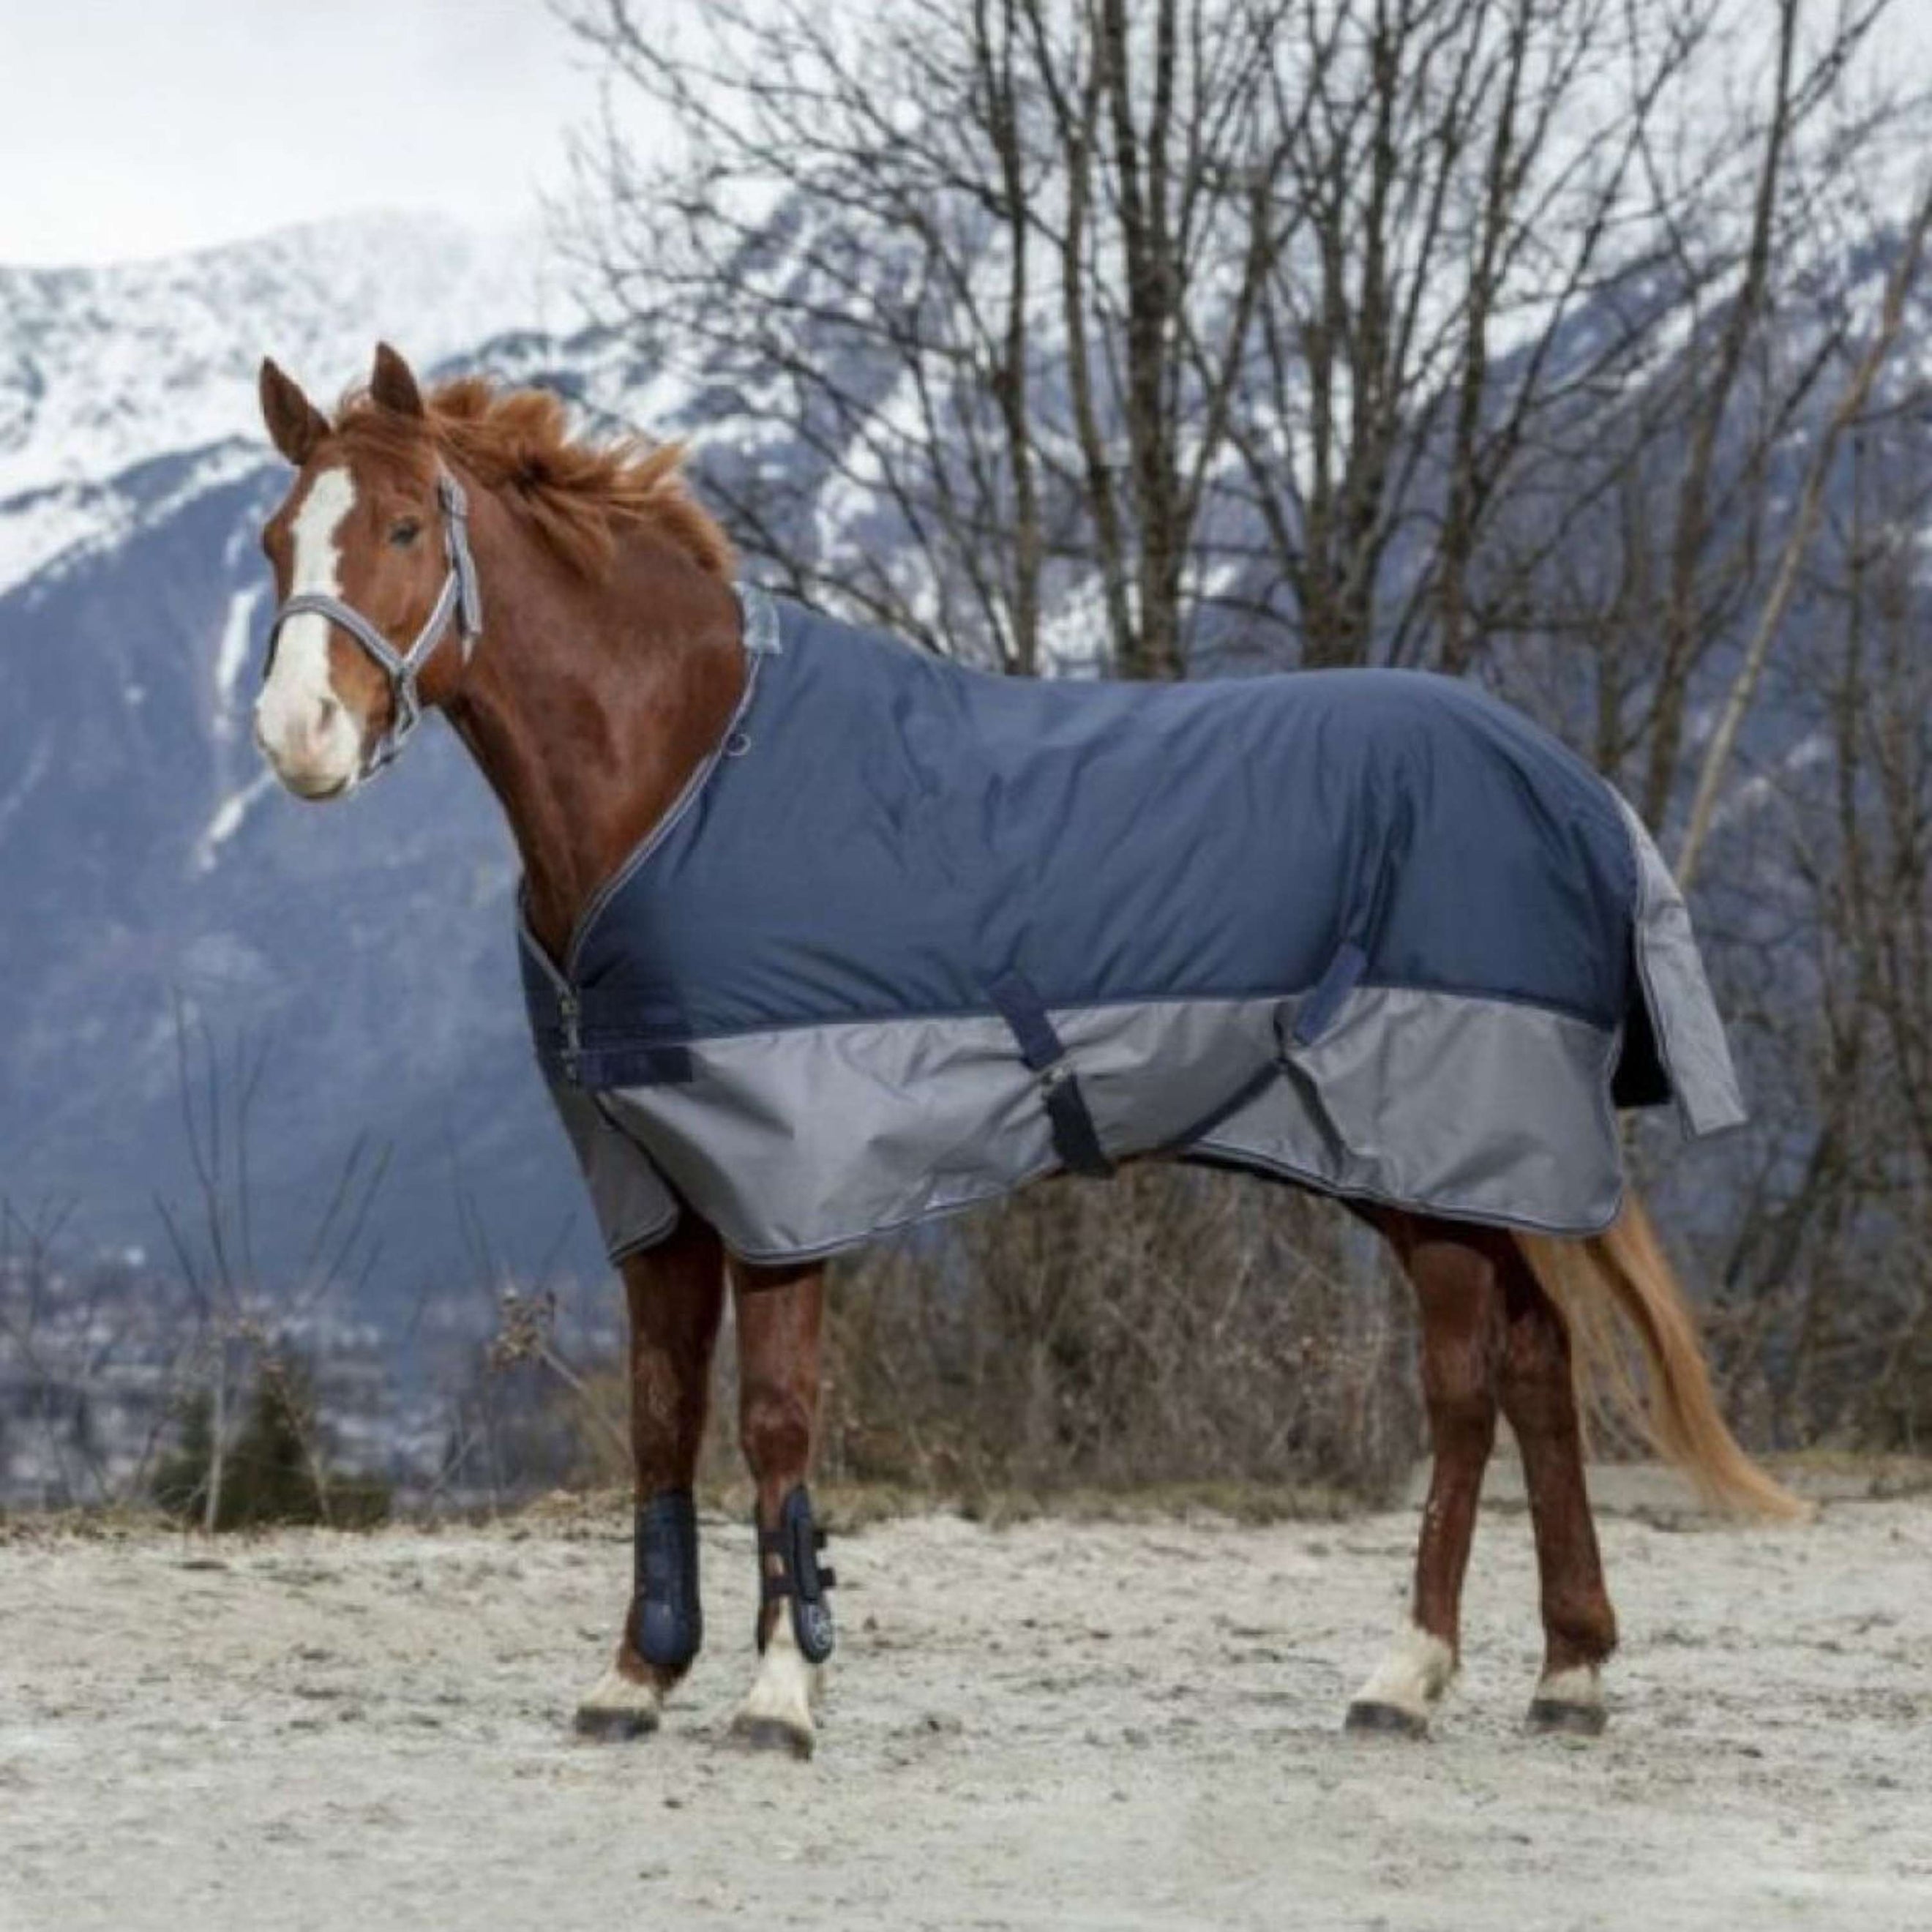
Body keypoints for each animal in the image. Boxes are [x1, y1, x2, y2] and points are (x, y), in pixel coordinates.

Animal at [249, 342, 1800, 1760]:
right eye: (277, 540)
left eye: (405, 525)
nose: (295, 735)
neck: (681, 777)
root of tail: (1573, 788)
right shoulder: (656, 1188)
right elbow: (659, 1420)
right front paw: (637, 1677)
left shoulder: (786, 1188)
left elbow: (774, 1423)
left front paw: (781, 1693)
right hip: (1425, 1166)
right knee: (1534, 1361)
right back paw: (1564, 1670)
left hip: (1425, 1153)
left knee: (1471, 1380)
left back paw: (1410, 1674)